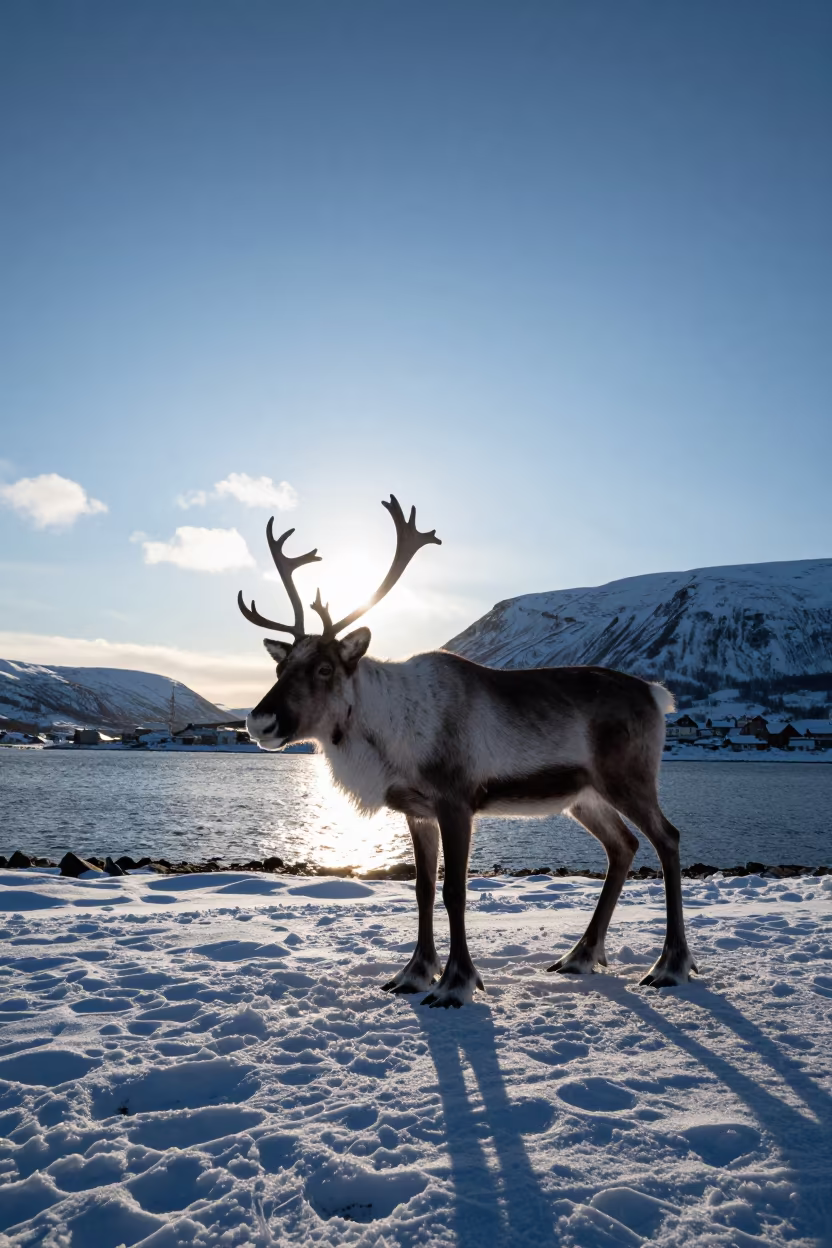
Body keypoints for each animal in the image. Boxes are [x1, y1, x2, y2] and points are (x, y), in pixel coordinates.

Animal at [240, 496, 697, 1008]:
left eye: (323, 668)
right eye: (279, 665)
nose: (259, 721)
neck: (389, 729)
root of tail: (656, 695)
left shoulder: (456, 801)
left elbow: (454, 891)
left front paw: (456, 982)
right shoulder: (416, 810)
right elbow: (422, 889)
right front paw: (414, 974)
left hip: (628, 778)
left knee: (667, 838)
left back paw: (669, 965)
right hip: (584, 796)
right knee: (624, 846)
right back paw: (579, 956)